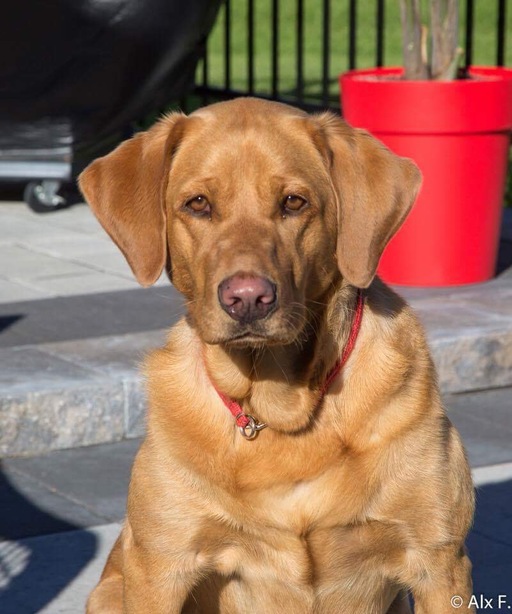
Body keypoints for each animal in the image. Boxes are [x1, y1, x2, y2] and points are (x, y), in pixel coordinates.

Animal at [79, 98, 475, 613]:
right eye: (198, 204)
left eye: (293, 202)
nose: (247, 299)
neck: (279, 409)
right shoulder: (159, 567)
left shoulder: (439, 564)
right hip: (110, 590)